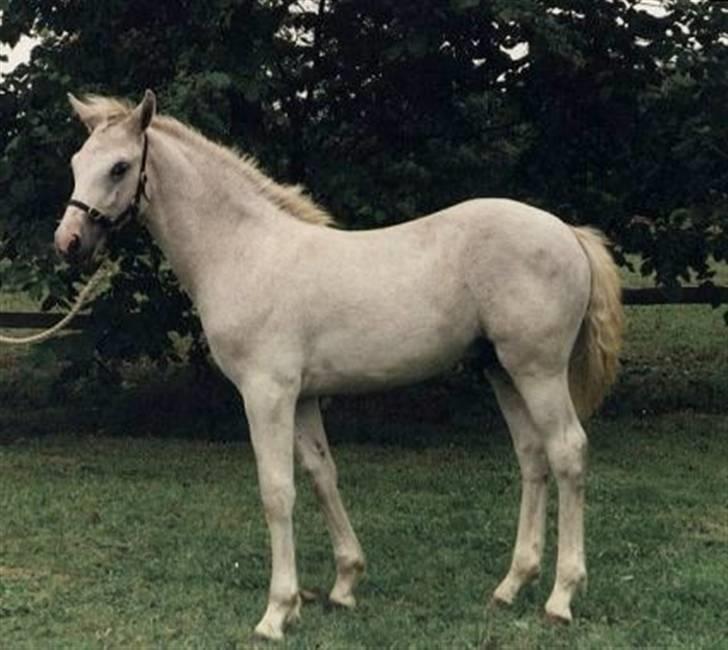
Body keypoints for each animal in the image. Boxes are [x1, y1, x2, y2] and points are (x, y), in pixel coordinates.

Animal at [54, 90, 623, 640]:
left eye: (120, 167)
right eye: (77, 161)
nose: (68, 242)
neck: (244, 251)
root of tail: (568, 233)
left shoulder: (267, 393)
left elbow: (277, 491)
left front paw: (276, 612)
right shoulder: (303, 396)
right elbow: (321, 475)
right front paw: (344, 584)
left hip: (538, 371)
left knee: (567, 452)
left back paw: (561, 597)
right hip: (502, 371)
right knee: (532, 457)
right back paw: (511, 585)